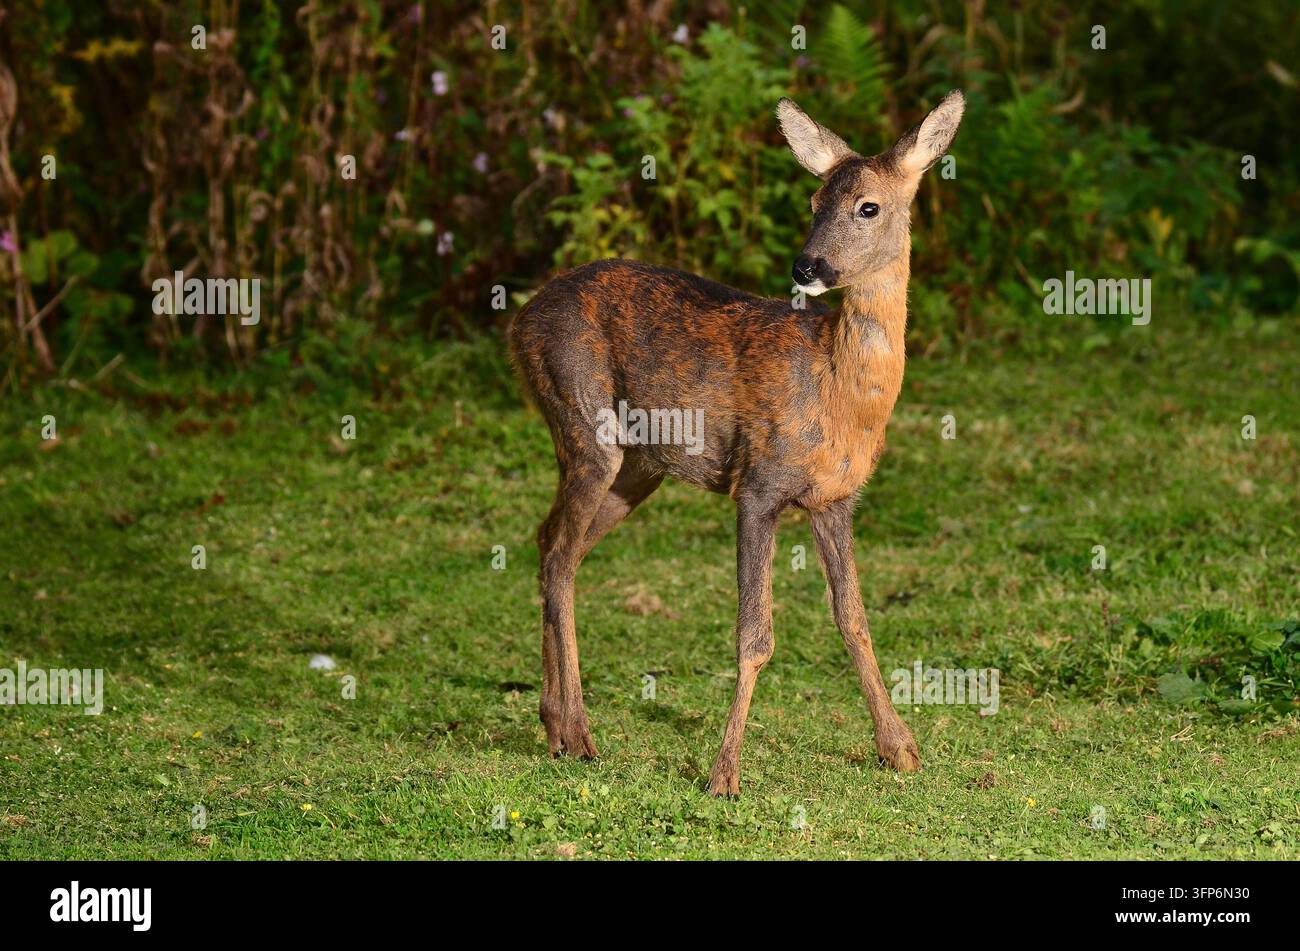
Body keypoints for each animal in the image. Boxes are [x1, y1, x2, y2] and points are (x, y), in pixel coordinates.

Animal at [509, 91, 965, 796]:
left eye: (868, 206)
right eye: (813, 201)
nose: (807, 266)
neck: (839, 393)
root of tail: (518, 321)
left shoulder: (836, 498)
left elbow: (854, 621)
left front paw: (900, 749)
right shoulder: (758, 484)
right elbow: (755, 635)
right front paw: (724, 773)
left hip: (637, 468)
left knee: (549, 543)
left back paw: (554, 725)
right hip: (585, 422)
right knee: (559, 554)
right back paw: (580, 735)